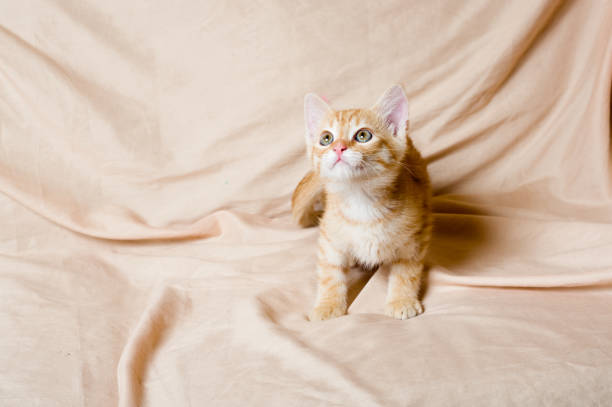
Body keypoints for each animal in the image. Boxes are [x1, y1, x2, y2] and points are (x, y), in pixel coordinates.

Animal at [290, 85, 430, 322]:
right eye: (326, 138)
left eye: (363, 135)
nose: (338, 148)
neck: (361, 201)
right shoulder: (329, 238)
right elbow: (330, 273)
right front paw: (328, 304)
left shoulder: (415, 236)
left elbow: (406, 272)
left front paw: (401, 300)